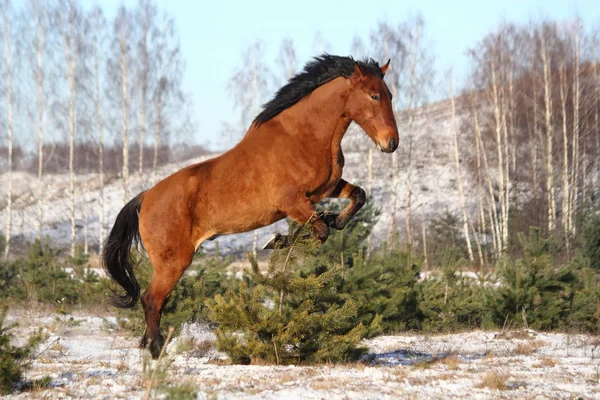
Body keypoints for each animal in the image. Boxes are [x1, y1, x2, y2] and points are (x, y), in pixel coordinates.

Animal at [102, 54, 398, 358]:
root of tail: (145, 197)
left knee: (156, 301)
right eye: (374, 96)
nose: (391, 143)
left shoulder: (326, 188)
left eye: (389, 95)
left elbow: (357, 197)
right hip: (173, 262)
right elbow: (318, 231)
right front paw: (278, 240)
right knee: (151, 300)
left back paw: (148, 345)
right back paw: (155, 350)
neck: (304, 136)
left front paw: (332, 218)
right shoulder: (292, 201)